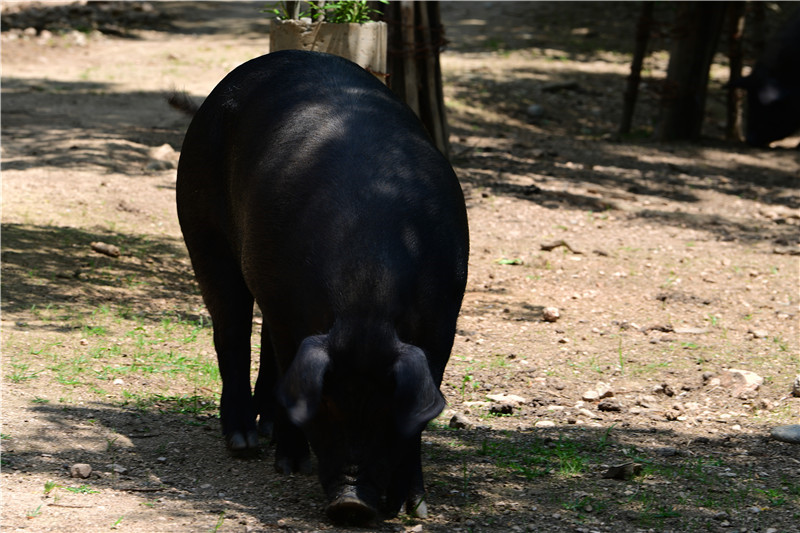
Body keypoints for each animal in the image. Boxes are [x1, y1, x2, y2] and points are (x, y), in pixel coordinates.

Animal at [175, 50, 468, 524]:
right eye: (326, 406)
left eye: (386, 411)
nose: (352, 503)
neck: (366, 302)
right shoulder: (288, 308)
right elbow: (287, 368)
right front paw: (289, 466)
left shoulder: (443, 320)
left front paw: (416, 509)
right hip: (201, 224)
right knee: (232, 329)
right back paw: (244, 442)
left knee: (261, 342)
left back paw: (265, 429)